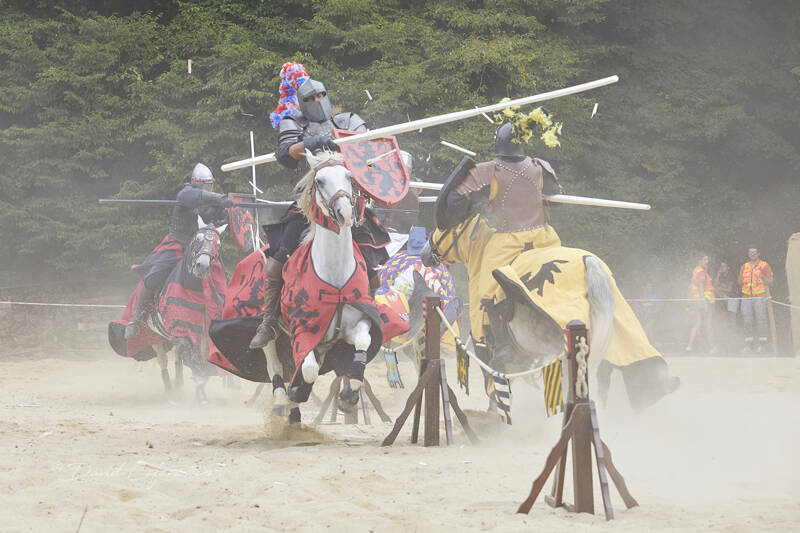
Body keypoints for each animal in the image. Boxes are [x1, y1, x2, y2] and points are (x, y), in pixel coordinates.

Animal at [262, 151, 376, 424]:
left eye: (349, 177)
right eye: (320, 181)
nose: (345, 213)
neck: (334, 275)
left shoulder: (356, 325)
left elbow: (363, 342)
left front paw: (349, 395)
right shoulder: (302, 331)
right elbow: (309, 369)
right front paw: (296, 392)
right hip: (271, 329)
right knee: (273, 358)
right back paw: (282, 399)